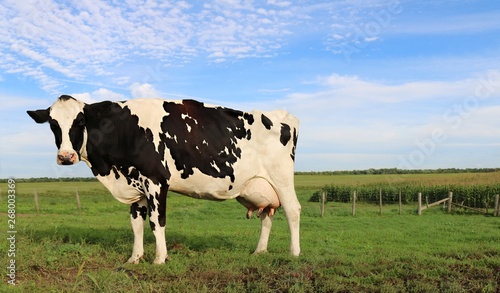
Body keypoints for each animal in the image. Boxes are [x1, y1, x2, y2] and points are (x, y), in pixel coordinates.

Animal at [27, 94, 300, 264]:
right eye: (52, 123)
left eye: (81, 120)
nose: (65, 156)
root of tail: (283, 115)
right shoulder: (136, 186)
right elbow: (136, 225)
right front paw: (134, 259)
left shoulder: (156, 181)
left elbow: (157, 222)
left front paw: (160, 259)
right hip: (261, 186)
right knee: (267, 215)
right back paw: (259, 251)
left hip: (282, 178)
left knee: (292, 210)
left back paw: (294, 253)